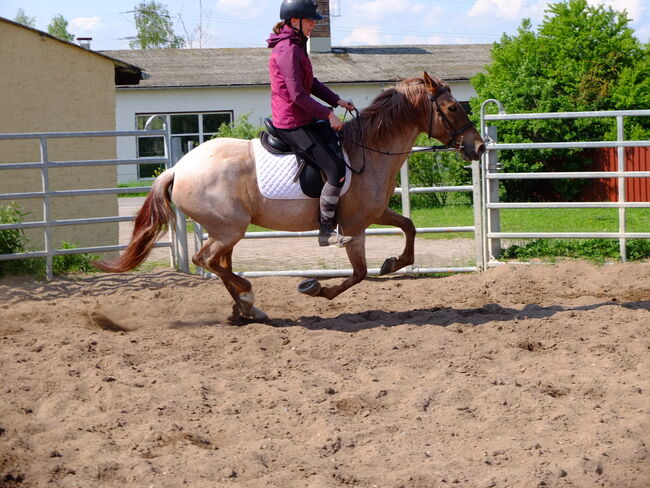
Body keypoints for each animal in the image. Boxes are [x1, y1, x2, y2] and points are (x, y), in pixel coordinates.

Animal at [95, 72, 480, 320]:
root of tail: (178, 168)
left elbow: (410, 228)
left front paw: (393, 263)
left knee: (220, 264)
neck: (369, 150)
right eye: (452, 108)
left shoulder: (374, 214)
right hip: (229, 229)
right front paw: (315, 288)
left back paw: (246, 308)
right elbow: (358, 273)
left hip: (227, 231)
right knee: (205, 260)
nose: (479, 147)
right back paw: (248, 295)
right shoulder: (353, 226)